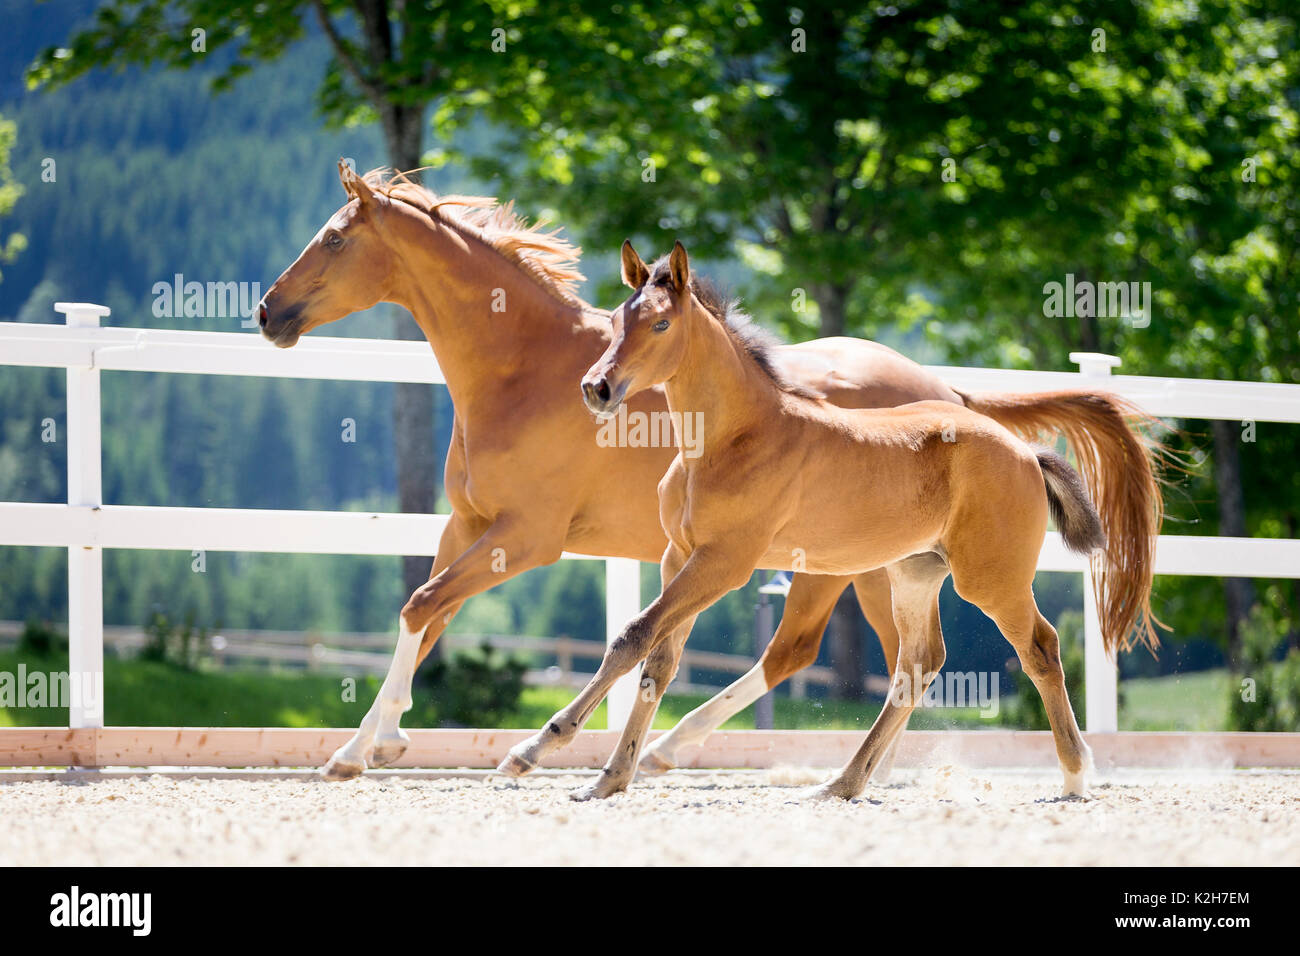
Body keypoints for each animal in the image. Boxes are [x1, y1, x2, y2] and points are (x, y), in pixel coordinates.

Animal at [499, 239, 1159, 801]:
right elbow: (658, 662)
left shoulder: (724, 562)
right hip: (914, 573)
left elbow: (632, 636)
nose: (597, 388)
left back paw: (1075, 775)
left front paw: (541, 746)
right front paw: (610, 777)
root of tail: (1023, 451)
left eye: (660, 324)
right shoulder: (679, 555)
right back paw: (843, 782)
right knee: (917, 665)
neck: (730, 438)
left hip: (989, 579)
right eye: (616, 320)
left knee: (1040, 648)